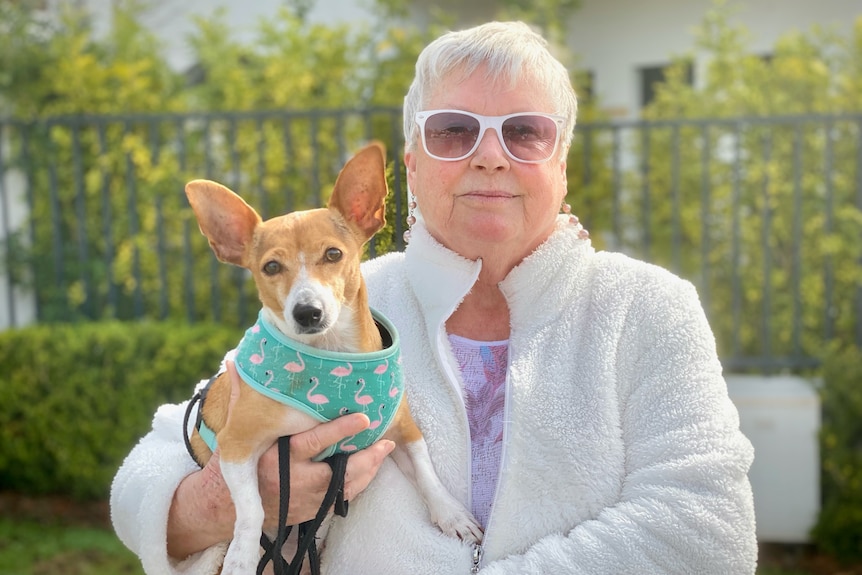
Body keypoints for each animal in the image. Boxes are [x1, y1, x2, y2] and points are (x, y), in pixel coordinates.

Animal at [186, 143, 482, 575]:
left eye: (333, 254)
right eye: (270, 266)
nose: (307, 312)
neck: (331, 354)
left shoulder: (403, 431)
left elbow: (426, 470)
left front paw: (451, 514)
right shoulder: (237, 445)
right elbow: (252, 509)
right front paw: (242, 555)